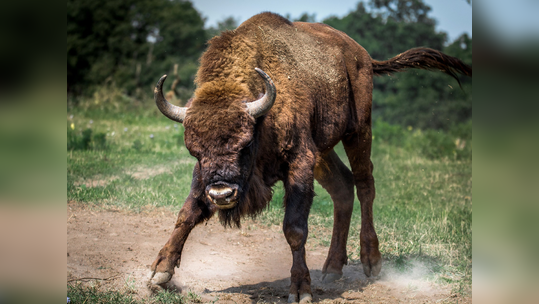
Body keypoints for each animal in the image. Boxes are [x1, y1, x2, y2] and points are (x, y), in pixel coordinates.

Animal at [149, 12, 472, 304]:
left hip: (358, 131)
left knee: (364, 184)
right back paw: (332, 268)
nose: (221, 194)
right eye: (194, 151)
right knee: (343, 187)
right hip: (323, 151)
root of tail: (362, 56)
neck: (263, 115)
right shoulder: (206, 176)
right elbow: (187, 212)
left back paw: (370, 261)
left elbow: (294, 228)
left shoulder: (299, 162)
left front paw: (300, 290)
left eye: (245, 143)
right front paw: (159, 274)